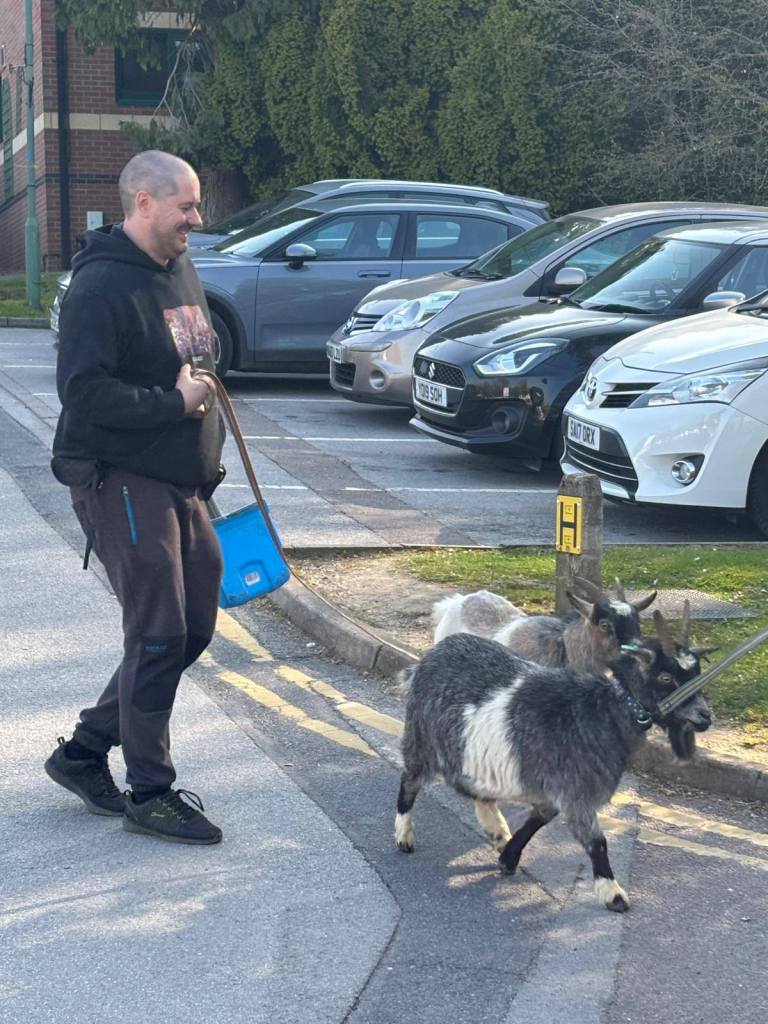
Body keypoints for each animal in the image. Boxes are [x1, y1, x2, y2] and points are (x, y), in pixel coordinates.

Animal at [394, 631, 712, 913]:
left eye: (697, 673)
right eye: (665, 677)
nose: (706, 716)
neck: (604, 713)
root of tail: (430, 656)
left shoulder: (557, 790)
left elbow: (539, 819)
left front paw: (509, 857)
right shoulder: (577, 793)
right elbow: (597, 843)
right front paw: (613, 894)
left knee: (474, 789)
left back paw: (496, 830)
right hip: (422, 739)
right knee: (410, 781)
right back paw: (404, 836)